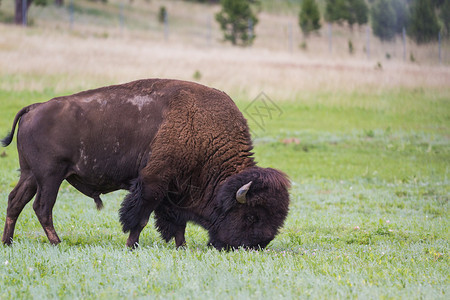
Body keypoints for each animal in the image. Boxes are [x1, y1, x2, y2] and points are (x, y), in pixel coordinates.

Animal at [1, 78, 290, 250]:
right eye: (251, 215)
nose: (255, 245)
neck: (203, 130)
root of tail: (34, 107)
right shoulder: (154, 181)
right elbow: (140, 216)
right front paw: (132, 245)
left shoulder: (176, 191)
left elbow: (176, 221)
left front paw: (181, 246)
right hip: (51, 175)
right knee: (42, 207)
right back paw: (56, 242)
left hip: (30, 175)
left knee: (16, 202)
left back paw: (8, 242)